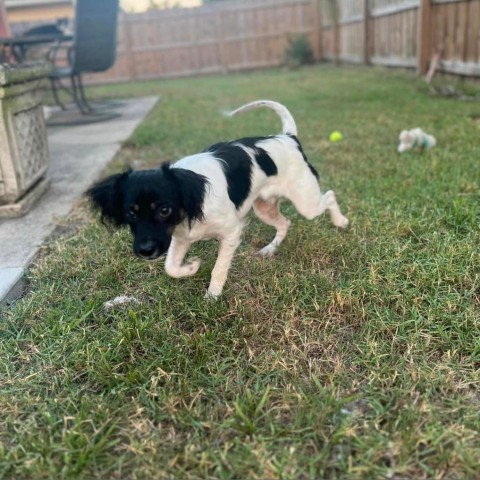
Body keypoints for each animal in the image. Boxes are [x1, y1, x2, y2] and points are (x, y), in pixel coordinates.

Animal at [87, 100, 348, 298]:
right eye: (130, 213)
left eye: (164, 210)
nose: (144, 251)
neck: (193, 205)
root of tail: (288, 138)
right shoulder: (180, 238)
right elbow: (171, 267)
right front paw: (191, 267)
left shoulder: (231, 232)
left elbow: (219, 268)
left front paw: (212, 295)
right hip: (264, 206)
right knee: (286, 223)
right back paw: (270, 249)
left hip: (306, 202)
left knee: (329, 196)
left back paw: (341, 221)